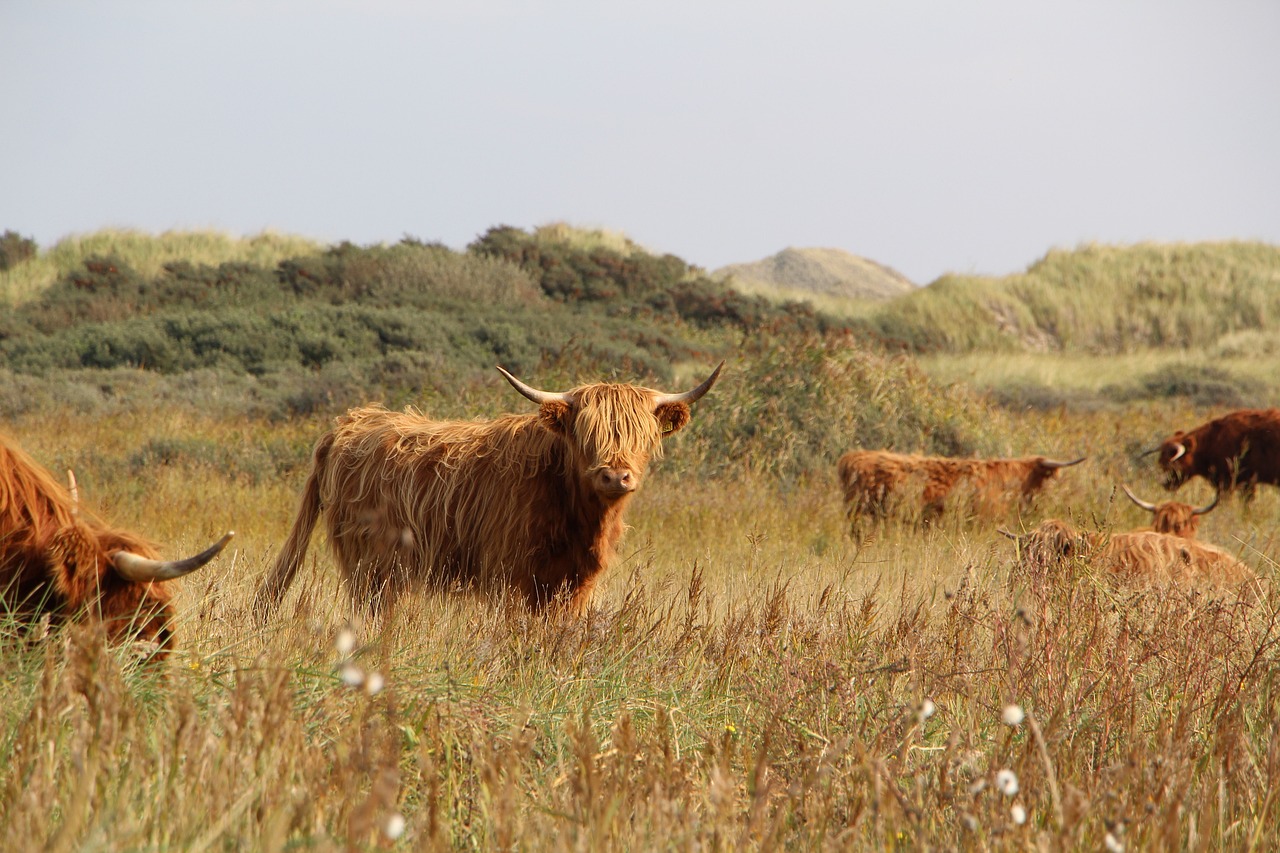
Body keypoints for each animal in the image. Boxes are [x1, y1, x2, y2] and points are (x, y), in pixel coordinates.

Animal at [254, 361, 727, 614]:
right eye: (586, 435)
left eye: (640, 436)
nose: (614, 476)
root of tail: (349, 423)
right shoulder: (510, 576)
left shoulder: (575, 584)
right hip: (372, 566)